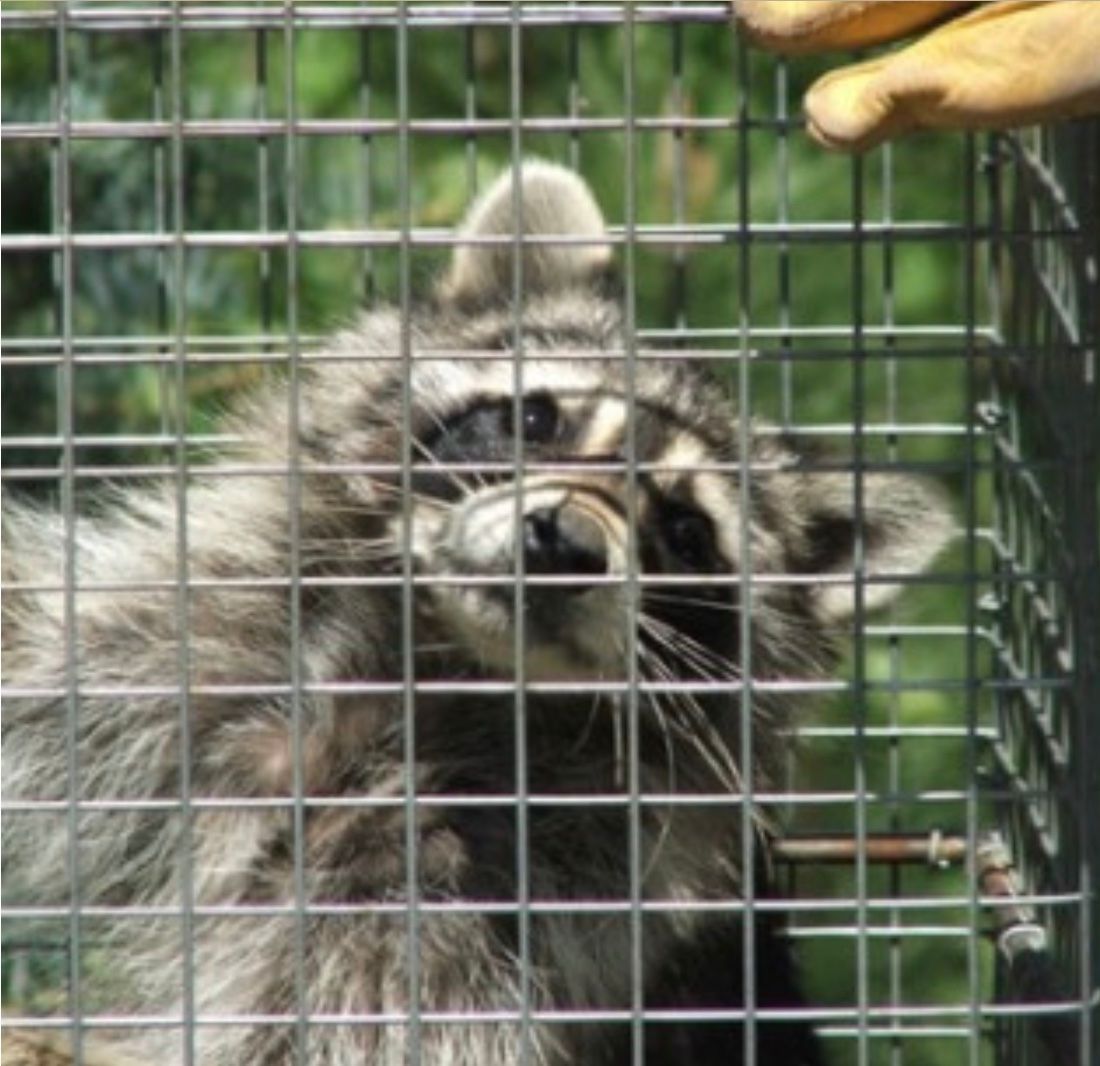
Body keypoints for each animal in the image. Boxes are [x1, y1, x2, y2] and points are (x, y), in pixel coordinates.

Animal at [2, 162, 952, 1066]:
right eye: (534, 417)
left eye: (686, 532)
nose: (565, 545)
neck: (448, 661)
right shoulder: (205, 656)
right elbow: (58, 665)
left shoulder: (510, 887)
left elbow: (367, 1013)